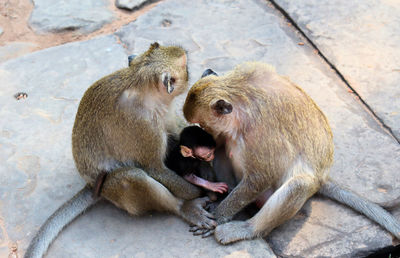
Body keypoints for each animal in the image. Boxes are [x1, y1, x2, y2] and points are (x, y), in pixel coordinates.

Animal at [24, 42, 216, 258]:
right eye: (185, 65)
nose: (190, 72)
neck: (142, 88)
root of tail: (90, 184)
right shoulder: (144, 126)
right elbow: (154, 169)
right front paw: (199, 190)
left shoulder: (163, 111)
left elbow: (178, 133)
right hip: (110, 188)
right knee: (132, 177)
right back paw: (183, 207)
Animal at [183, 62, 400, 244]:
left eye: (204, 124)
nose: (208, 136)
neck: (240, 92)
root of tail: (323, 177)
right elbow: (223, 145)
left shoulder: (261, 131)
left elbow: (260, 178)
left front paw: (219, 216)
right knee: (224, 148)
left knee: (298, 185)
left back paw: (245, 229)